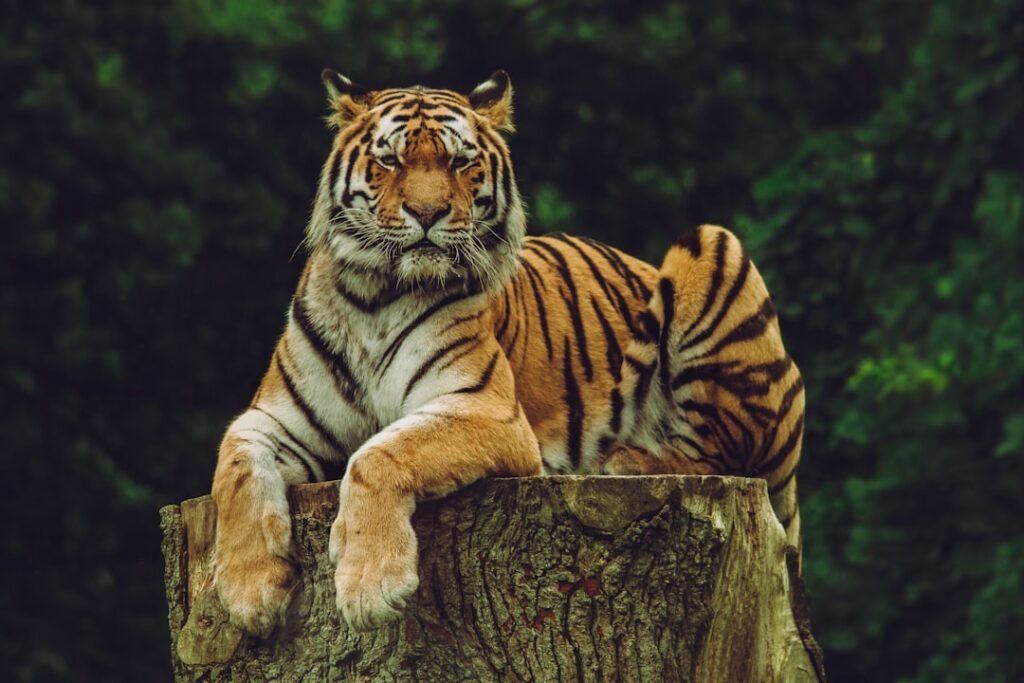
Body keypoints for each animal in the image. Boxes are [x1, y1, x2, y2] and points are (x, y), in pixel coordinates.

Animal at [210, 69, 805, 636]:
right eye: (390, 159)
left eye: (459, 161)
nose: (427, 212)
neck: (374, 298)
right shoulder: (275, 418)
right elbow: (234, 471)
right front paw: (248, 593)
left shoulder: (486, 409)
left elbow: (379, 454)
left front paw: (370, 587)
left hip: (713, 245)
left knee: (725, 454)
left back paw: (627, 459)